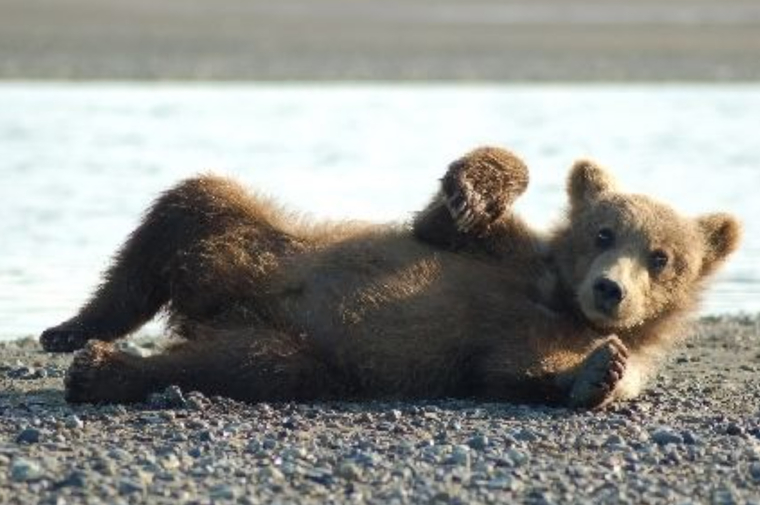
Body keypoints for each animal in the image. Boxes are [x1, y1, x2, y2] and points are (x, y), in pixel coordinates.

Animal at [39, 147, 741, 409]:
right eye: (603, 233)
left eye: (662, 257)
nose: (610, 289)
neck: (556, 299)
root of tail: (214, 305)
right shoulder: (502, 255)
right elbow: (447, 222)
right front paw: (469, 188)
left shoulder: (529, 340)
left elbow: (519, 371)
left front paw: (601, 373)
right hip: (262, 238)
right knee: (186, 207)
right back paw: (70, 330)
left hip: (293, 351)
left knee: (235, 366)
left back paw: (103, 370)